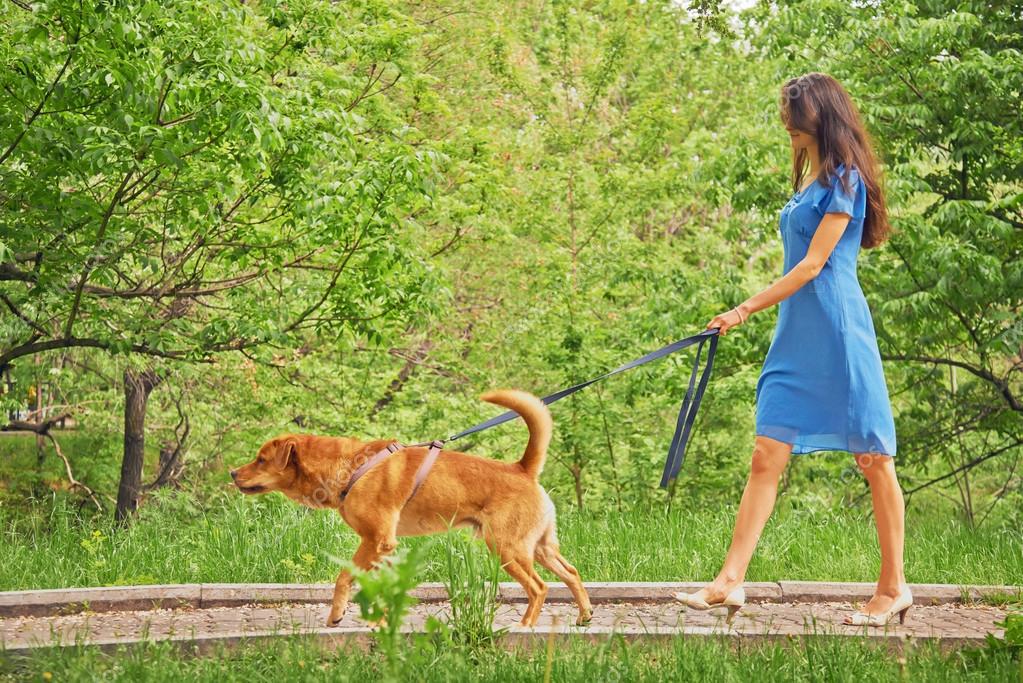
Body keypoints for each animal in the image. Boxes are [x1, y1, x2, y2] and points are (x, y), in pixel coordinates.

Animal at [228, 388, 589, 629]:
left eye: (261, 459)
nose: (232, 473)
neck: (350, 468)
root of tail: (522, 469)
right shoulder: (383, 548)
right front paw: (380, 621)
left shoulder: (375, 541)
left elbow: (343, 577)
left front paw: (341, 616)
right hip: (540, 547)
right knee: (571, 572)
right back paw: (584, 615)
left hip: (508, 549)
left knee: (539, 587)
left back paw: (526, 625)